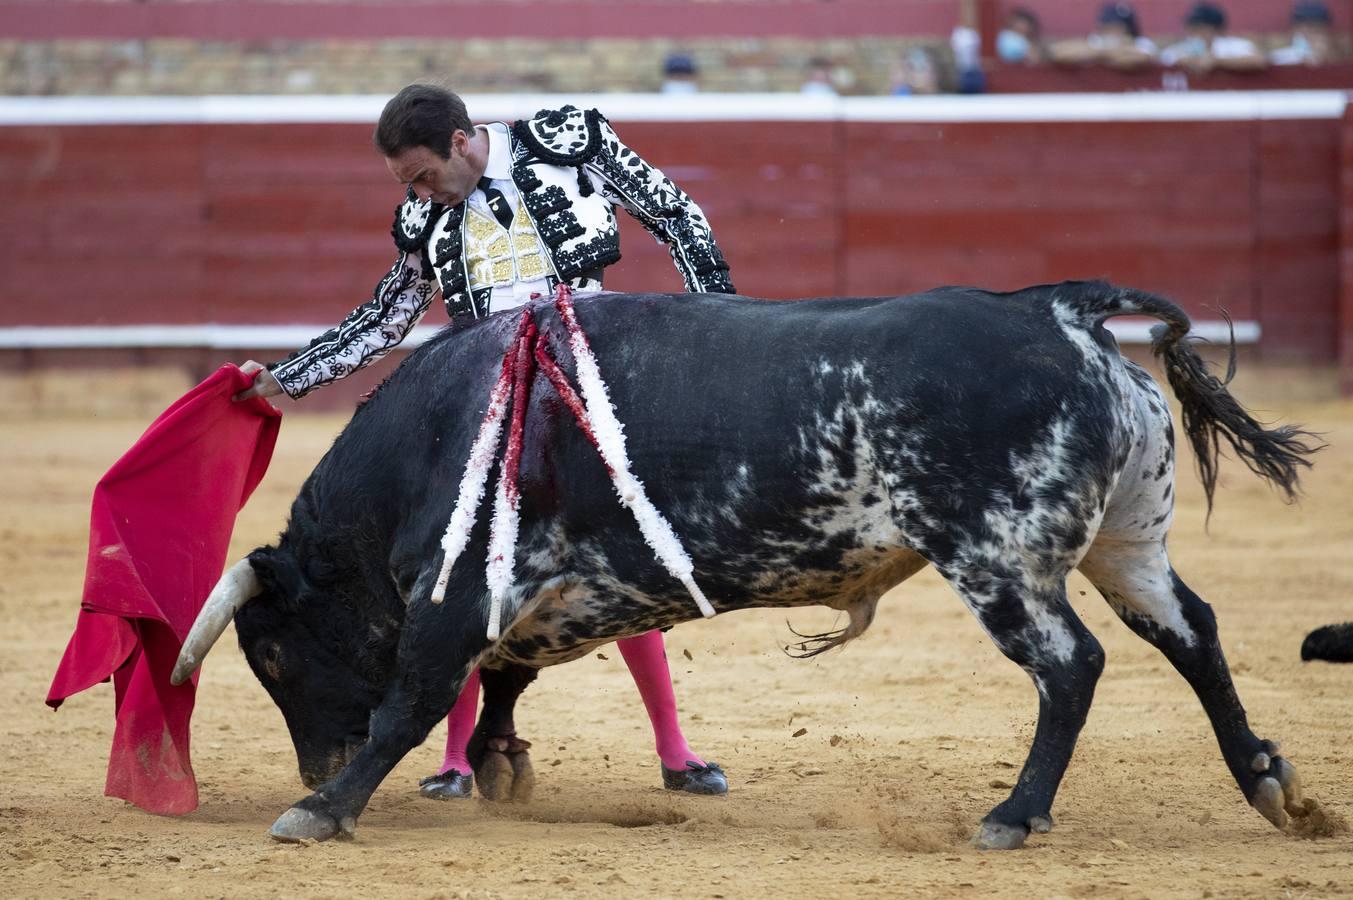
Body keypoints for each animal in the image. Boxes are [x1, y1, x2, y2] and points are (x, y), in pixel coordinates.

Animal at [169, 282, 1320, 849]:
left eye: (271, 658)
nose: (312, 763)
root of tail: (1063, 318)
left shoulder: (458, 590)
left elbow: (413, 696)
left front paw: (323, 811)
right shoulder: (541, 596)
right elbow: (502, 678)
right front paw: (494, 766)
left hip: (995, 558)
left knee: (1070, 666)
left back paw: (1011, 816)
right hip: (1130, 540)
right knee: (1192, 633)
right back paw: (1272, 786)